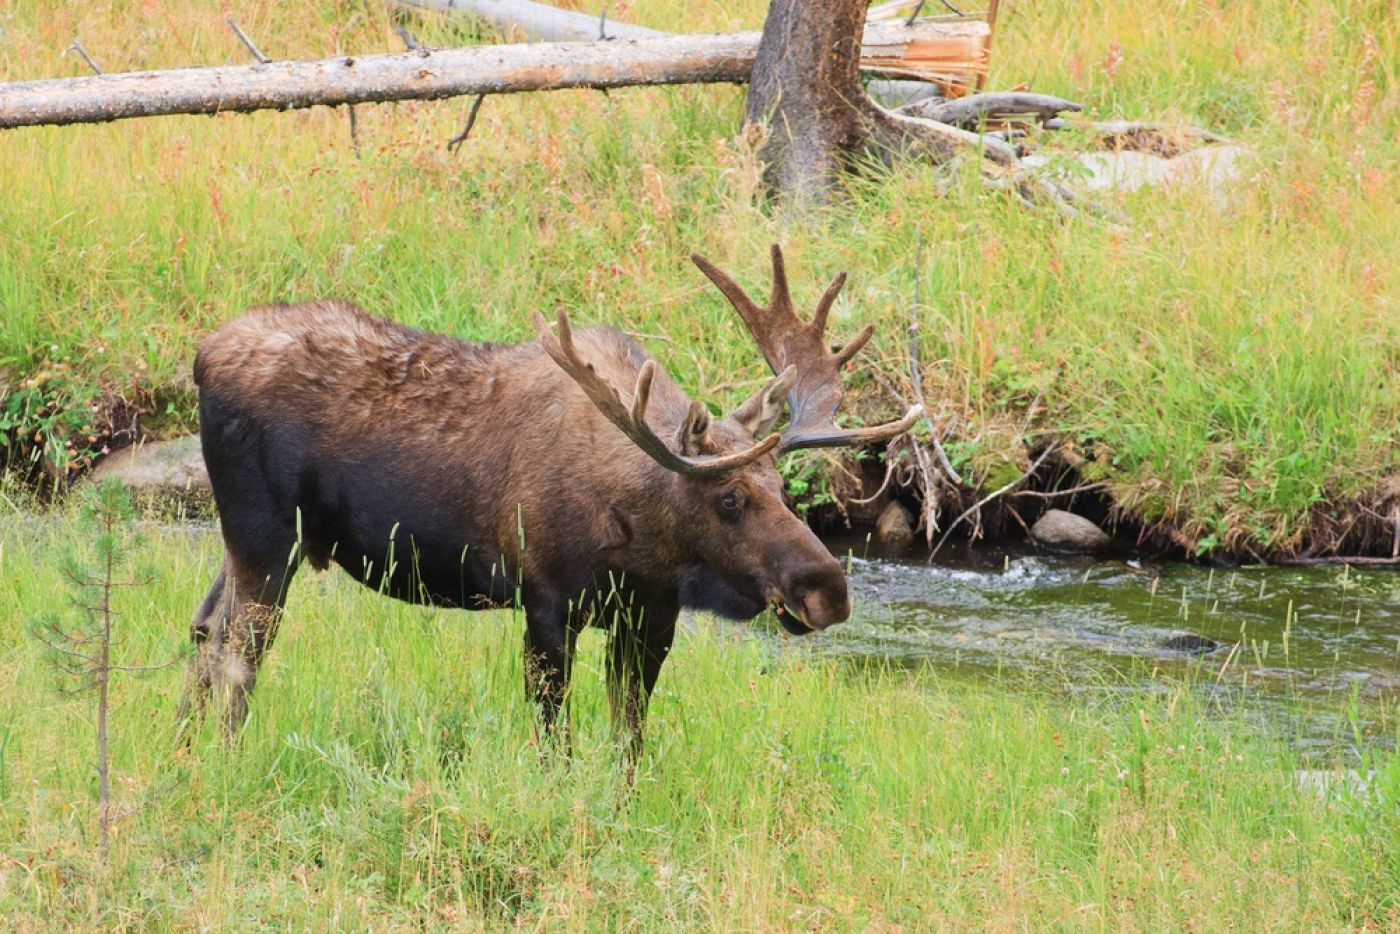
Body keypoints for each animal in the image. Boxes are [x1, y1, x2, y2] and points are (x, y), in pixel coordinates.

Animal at [180, 246, 918, 750]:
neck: (643, 541)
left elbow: (628, 738)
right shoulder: (546, 602)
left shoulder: (650, 616)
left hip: (248, 543)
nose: (828, 589)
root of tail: (199, 357)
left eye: (781, 488)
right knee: (237, 656)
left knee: (203, 630)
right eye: (729, 498)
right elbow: (554, 735)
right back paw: (224, 758)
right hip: (265, 538)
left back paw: (184, 748)